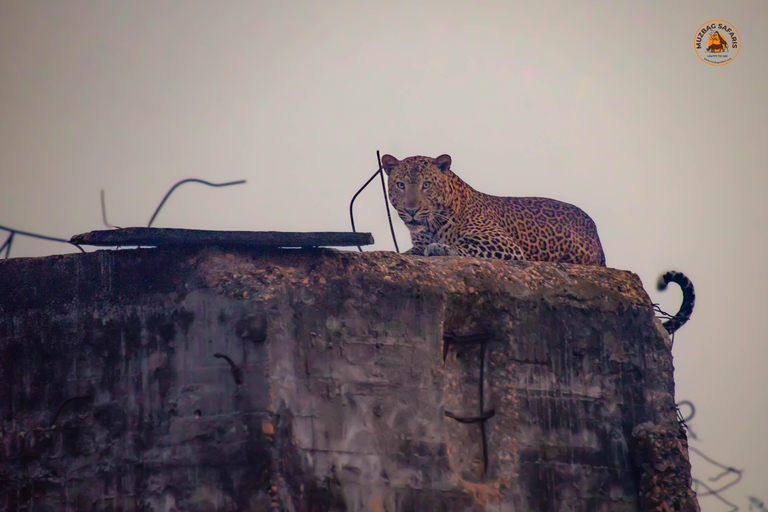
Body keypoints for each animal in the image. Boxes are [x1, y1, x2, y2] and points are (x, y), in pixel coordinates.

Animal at [380, 153, 692, 332]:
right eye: (400, 185)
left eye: (426, 185)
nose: (410, 210)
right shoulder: (416, 242)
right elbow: (409, 250)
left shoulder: (504, 245)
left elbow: (465, 246)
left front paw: (441, 248)